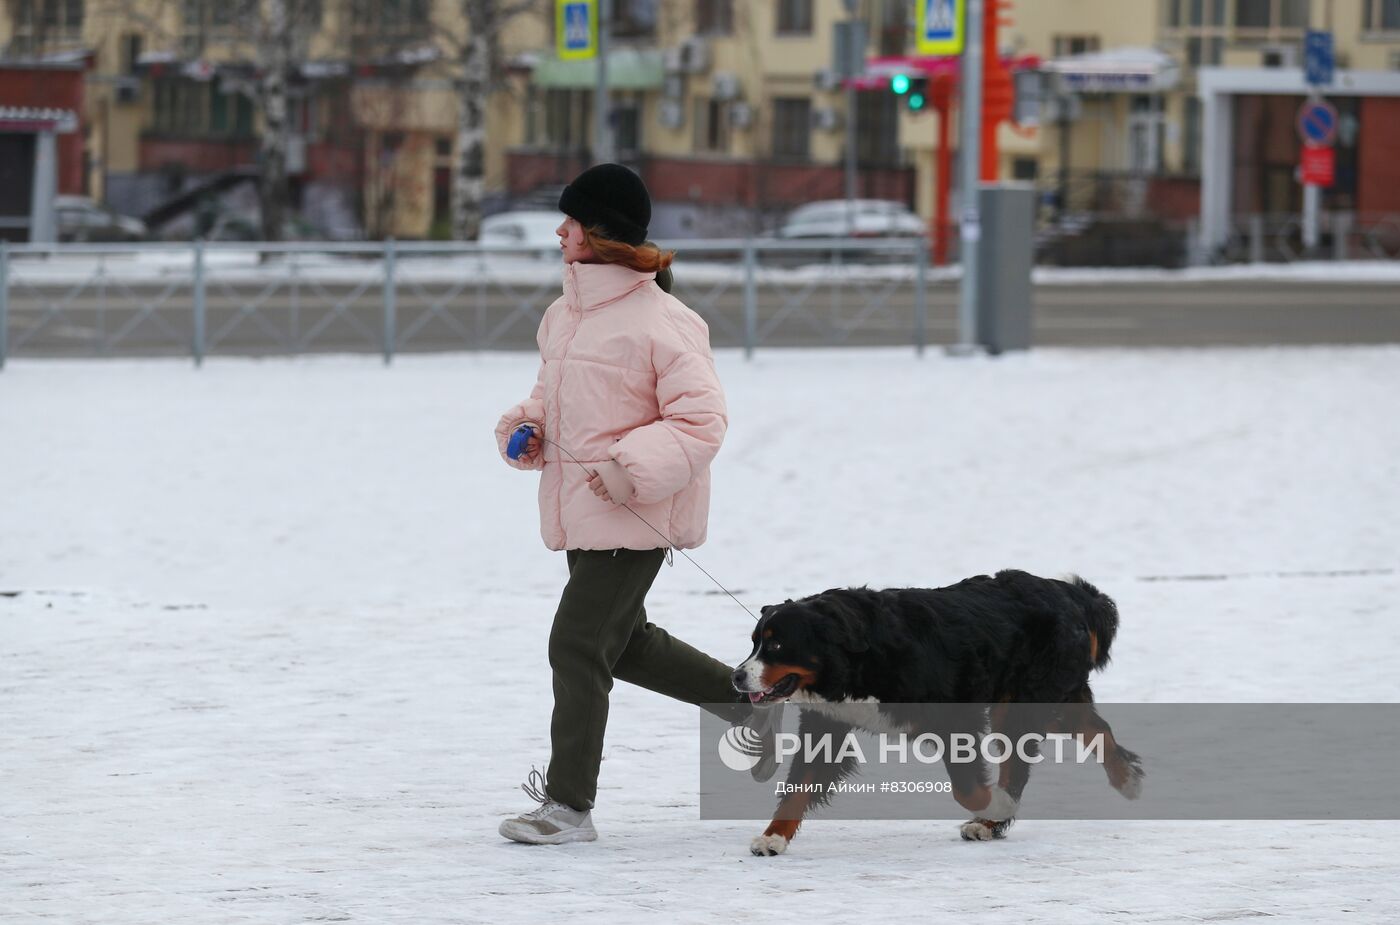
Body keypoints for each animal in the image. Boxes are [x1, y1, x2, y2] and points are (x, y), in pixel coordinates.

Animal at [728, 565, 1142, 856]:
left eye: (776, 645)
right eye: (754, 643)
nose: (737, 676)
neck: (858, 658)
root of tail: (1073, 594)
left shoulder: (956, 718)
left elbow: (967, 788)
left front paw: (995, 805)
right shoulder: (828, 723)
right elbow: (799, 786)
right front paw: (773, 838)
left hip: (1024, 703)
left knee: (1020, 765)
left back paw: (996, 817)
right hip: (1047, 699)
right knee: (1095, 729)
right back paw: (1126, 776)